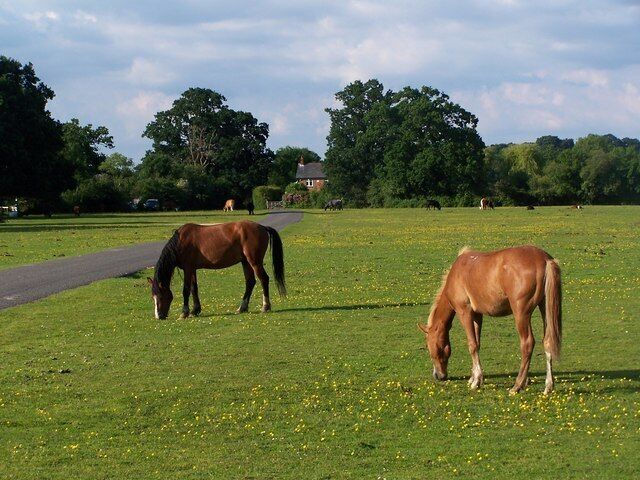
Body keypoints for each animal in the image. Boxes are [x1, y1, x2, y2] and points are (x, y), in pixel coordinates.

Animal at [148, 221, 286, 319]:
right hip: (245, 262)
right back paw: (242, 308)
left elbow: (186, 290)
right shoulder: (192, 269)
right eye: (153, 297)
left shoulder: (188, 269)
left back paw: (265, 306)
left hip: (254, 262)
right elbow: (194, 288)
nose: (158, 316)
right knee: (250, 282)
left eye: (160, 296)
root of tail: (262, 227)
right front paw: (195, 310)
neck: (180, 242)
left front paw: (184, 313)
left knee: (264, 279)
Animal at [417, 245, 562, 395]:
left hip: (521, 314)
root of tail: (544, 259)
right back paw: (548, 386)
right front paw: (473, 377)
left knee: (527, 343)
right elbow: (477, 343)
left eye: (429, 346)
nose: (438, 375)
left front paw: (476, 381)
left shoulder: (464, 312)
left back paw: (517, 385)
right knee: (548, 341)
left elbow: (472, 345)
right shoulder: (477, 315)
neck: (456, 273)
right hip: (545, 308)